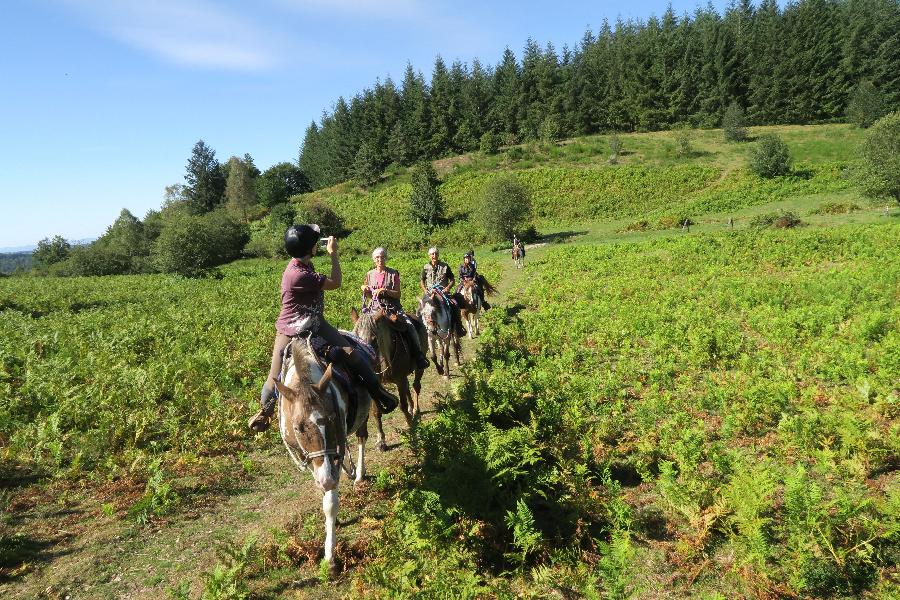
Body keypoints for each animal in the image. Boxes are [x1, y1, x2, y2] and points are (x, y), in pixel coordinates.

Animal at [274, 336, 372, 576]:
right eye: (298, 428)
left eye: (332, 417)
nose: (327, 479)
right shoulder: (311, 459)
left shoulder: (335, 452)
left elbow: (330, 503)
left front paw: (330, 557)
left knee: (362, 437)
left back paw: (359, 475)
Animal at [348, 310, 426, 450]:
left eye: (374, 340)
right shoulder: (375, 386)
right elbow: (376, 412)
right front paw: (381, 441)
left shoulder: (400, 380)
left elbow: (402, 406)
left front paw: (411, 428)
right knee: (408, 388)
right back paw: (412, 409)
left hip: (419, 368)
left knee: (416, 386)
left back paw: (415, 409)